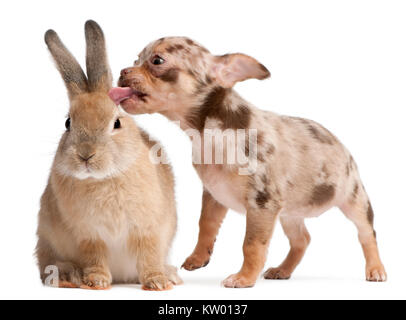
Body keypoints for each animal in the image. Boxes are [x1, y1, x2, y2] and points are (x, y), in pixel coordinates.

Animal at [35, 20, 181, 290]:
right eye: (68, 123)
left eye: (116, 123)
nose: (86, 155)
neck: (105, 179)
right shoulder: (89, 234)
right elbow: (94, 256)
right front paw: (96, 282)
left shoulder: (147, 229)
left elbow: (149, 255)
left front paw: (157, 282)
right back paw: (68, 276)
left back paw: (170, 274)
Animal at [108, 37, 386, 288]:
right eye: (136, 59)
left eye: (157, 61)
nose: (123, 71)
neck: (207, 135)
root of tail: (338, 141)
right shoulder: (214, 194)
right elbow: (205, 225)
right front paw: (198, 257)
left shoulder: (261, 204)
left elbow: (252, 245)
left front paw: (244, 278)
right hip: (290, 213)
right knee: (302, 240)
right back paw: (283, 270)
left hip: (354, 198)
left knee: (367, 233)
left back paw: (375, 269)